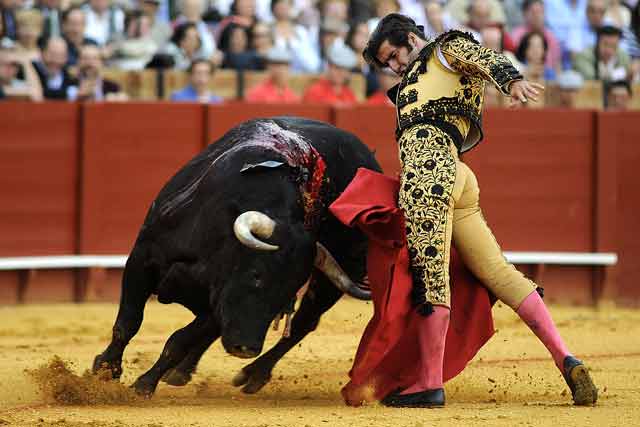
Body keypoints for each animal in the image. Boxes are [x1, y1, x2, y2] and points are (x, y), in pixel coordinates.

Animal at [93, 117, 382, 398]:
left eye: (288, 293)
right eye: (256, 275)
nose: (246, 348)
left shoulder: (216, 302)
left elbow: (179, 340)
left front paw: (144, 384)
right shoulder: (143, 258)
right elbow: (128, 322)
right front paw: (106, 370)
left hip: (341, 275)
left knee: (304, 321)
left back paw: (252, 374)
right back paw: (182, 372)